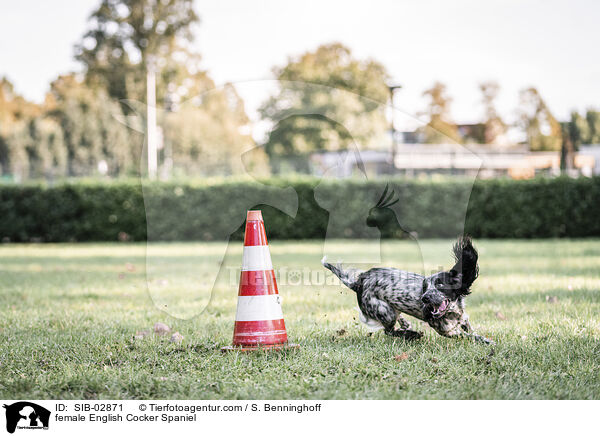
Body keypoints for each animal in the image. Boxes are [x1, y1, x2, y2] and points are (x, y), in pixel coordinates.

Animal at [324, 235, 492, 344]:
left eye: (440, 285)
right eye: (425, 287)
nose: (424, 298)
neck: (452, 312)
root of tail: (359, 282)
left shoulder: (464, 320)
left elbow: (470, 330)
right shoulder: (447, 331)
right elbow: (468, 336)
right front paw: (487, 342)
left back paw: (405, 324)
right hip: (385, 311)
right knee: (389, 331)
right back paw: (412, 334)